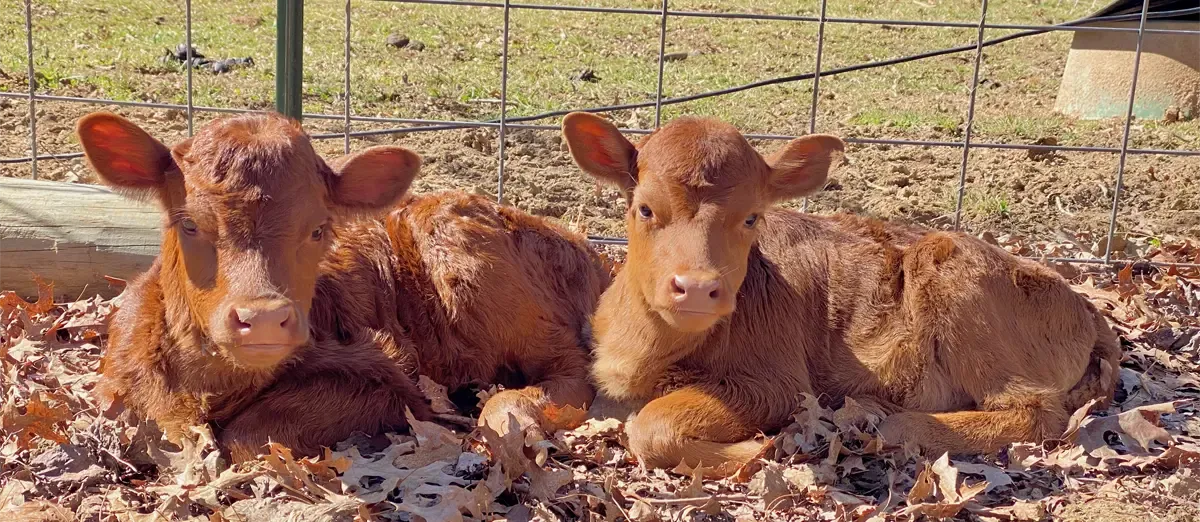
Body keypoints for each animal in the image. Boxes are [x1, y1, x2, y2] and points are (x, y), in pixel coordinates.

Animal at [78, 111, 609, 461]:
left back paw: (510, 414)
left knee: (571, 368)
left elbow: (246, 438)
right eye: (188, 223)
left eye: (318, 230)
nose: (264, 319)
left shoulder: (384, 376)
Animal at [560, 112, 1121, 472]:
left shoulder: (778, 381)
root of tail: (1087, 309)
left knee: (1036, 412)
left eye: (752, 217)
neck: (647, 351)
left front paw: (758, 450)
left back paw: (898, 425)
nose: (697, 288)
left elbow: (652, 424)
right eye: (644, 208)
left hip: (957, 282)